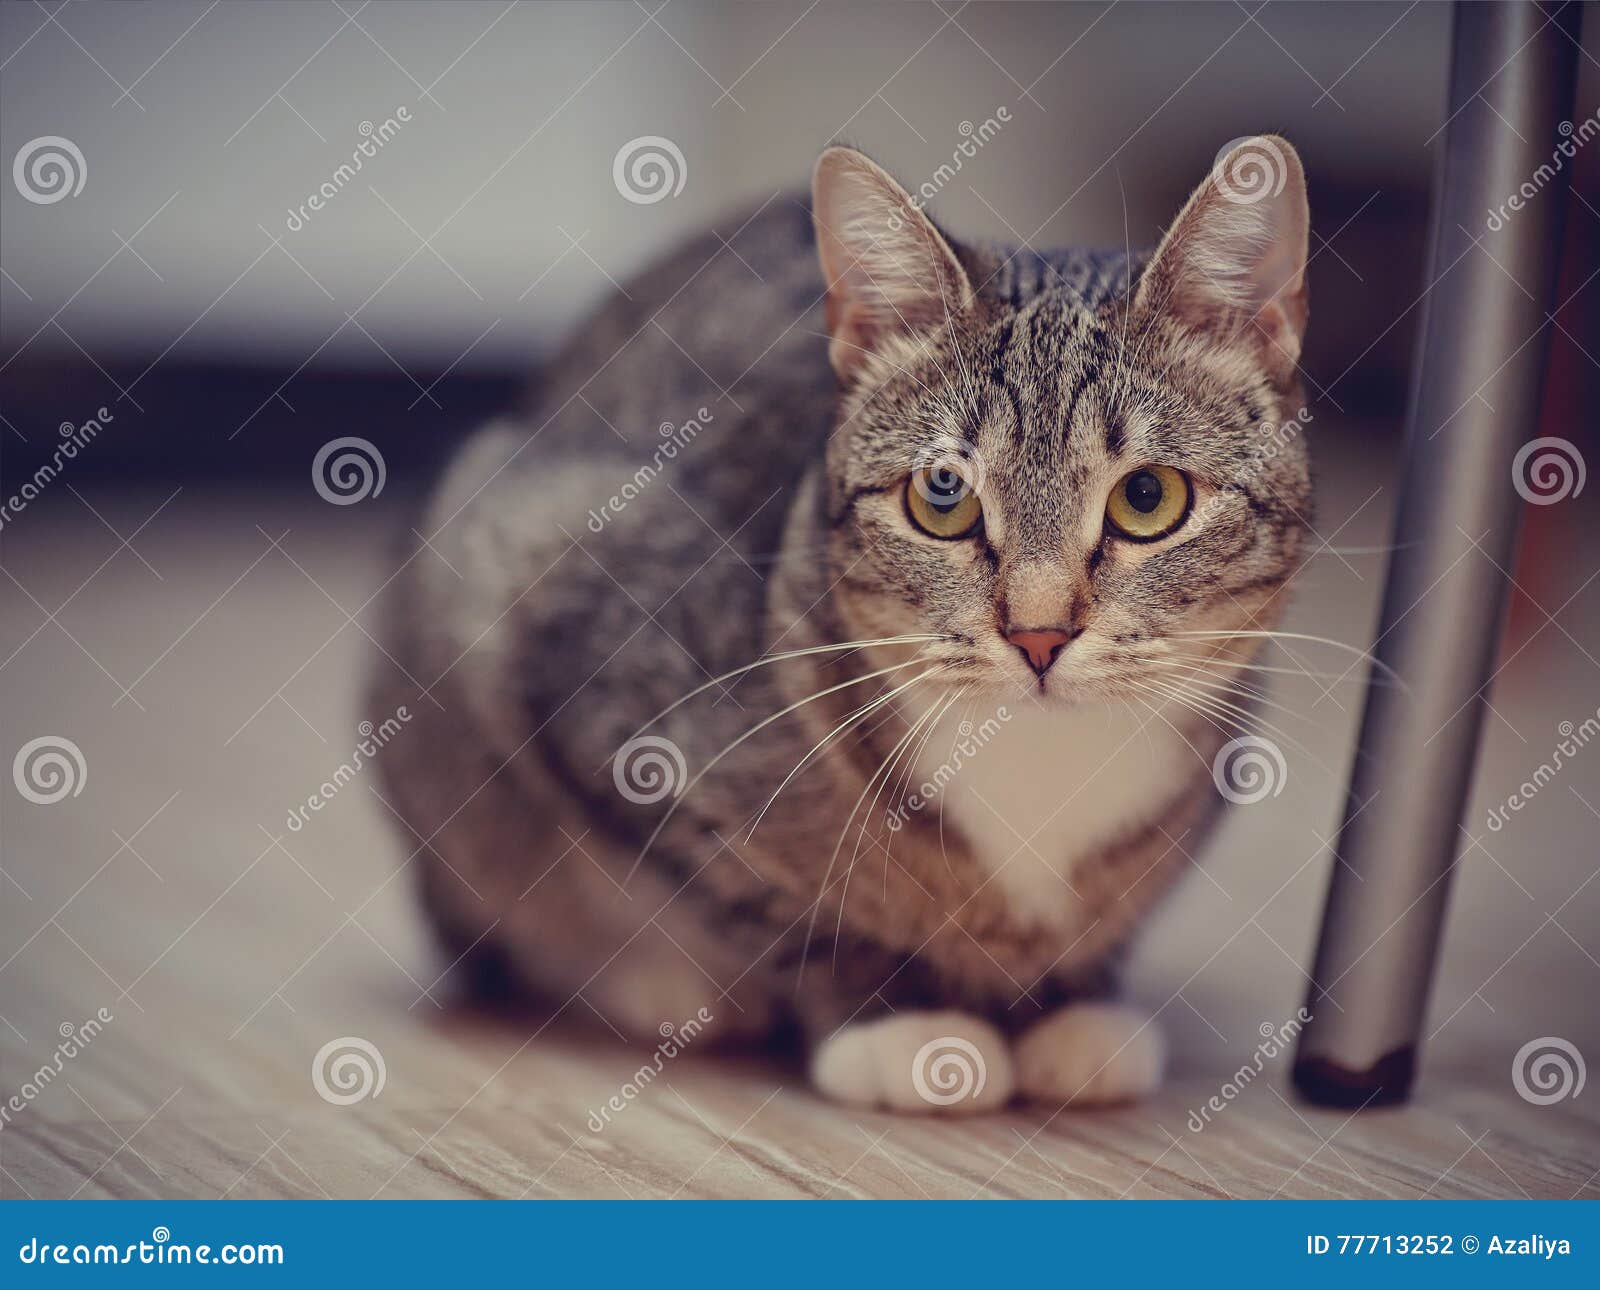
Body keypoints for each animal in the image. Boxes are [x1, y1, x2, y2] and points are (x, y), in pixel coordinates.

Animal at [371, 136, 1312, 1113]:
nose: (1039, 634)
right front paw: (895, 1019)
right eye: (943, 494)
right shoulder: (558, 628)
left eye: (1148, 497)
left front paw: (1072, 1008)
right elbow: (786, 911)